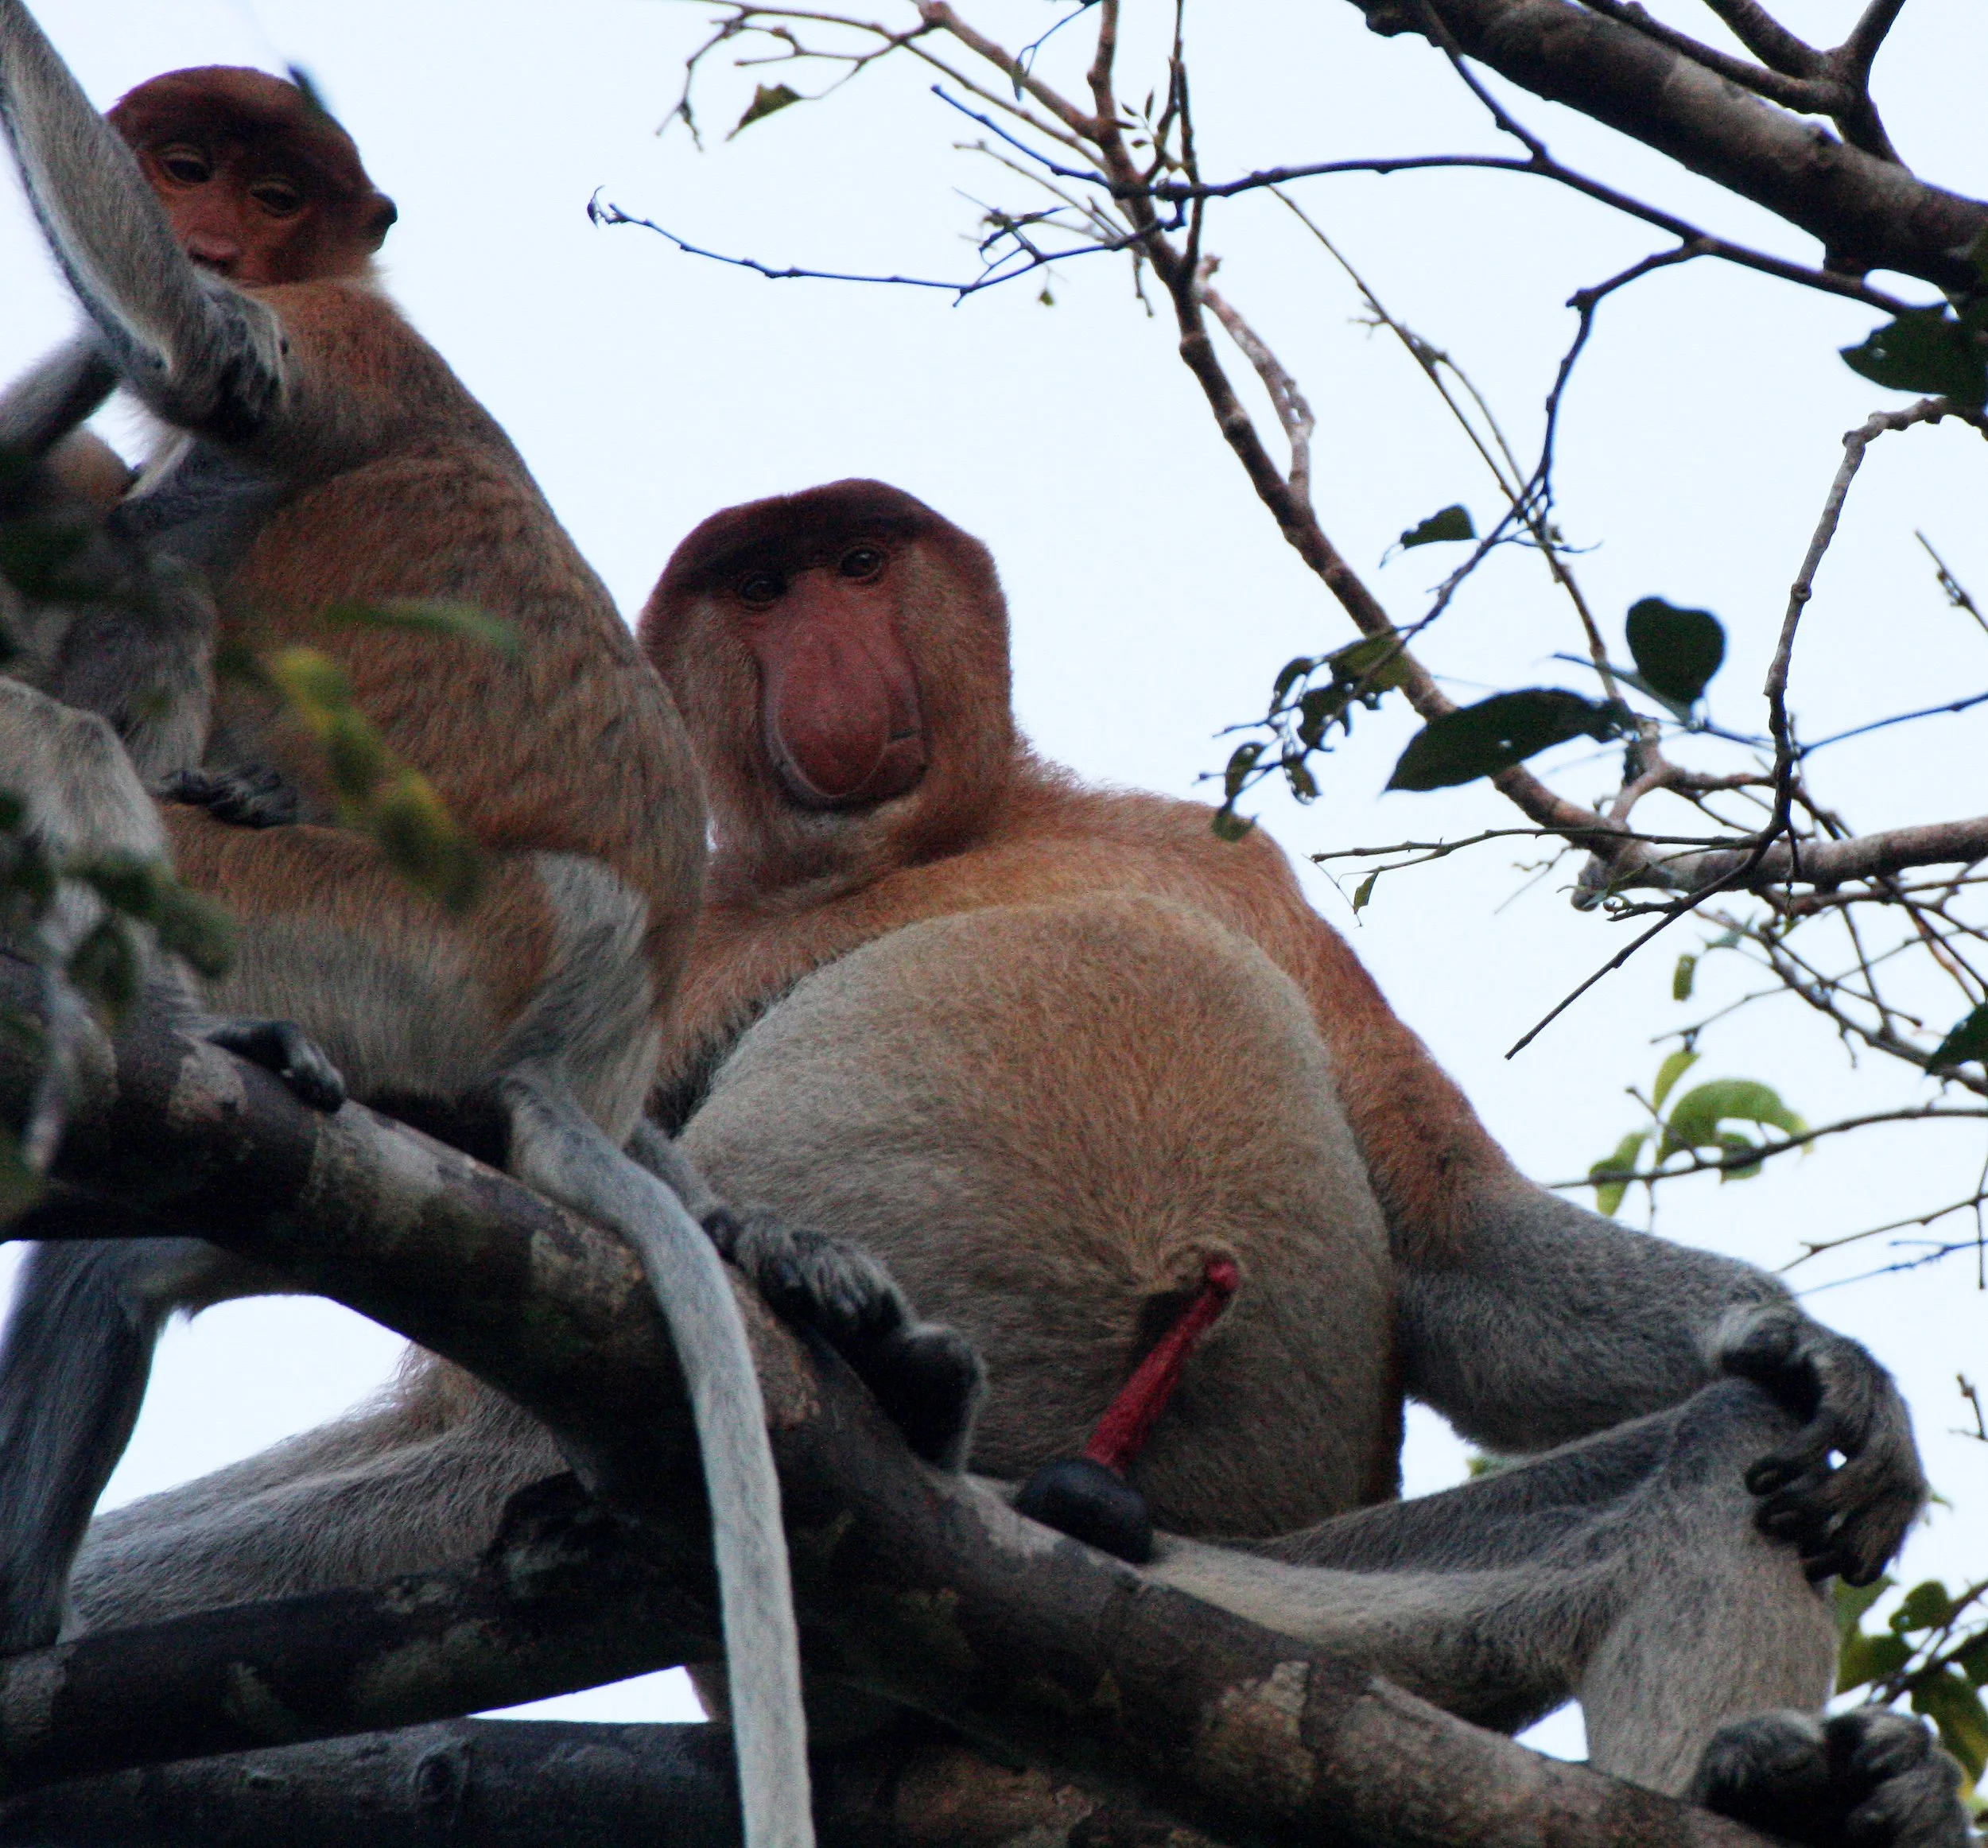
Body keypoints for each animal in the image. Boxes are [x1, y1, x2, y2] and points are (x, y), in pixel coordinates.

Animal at [0, 35, 972, 1848]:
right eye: (182, 162)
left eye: (268, 186)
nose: (214, 225)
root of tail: (585, 1025)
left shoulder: (347, 342)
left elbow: (206, 351)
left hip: (392, 939)